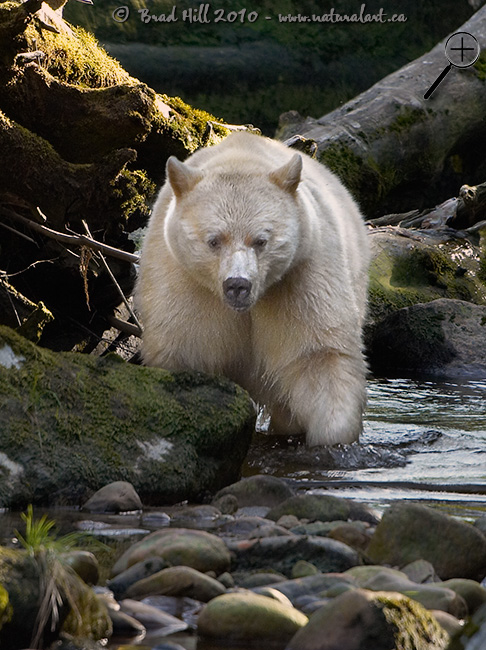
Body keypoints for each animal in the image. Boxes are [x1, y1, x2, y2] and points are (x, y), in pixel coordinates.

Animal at [134, 132, 370, 446]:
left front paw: (332, 438)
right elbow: (185, 349)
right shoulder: (186, 285)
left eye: (261, 240)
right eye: (213, 240)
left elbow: (319, 355)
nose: (238, 285)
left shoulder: (302, 276)